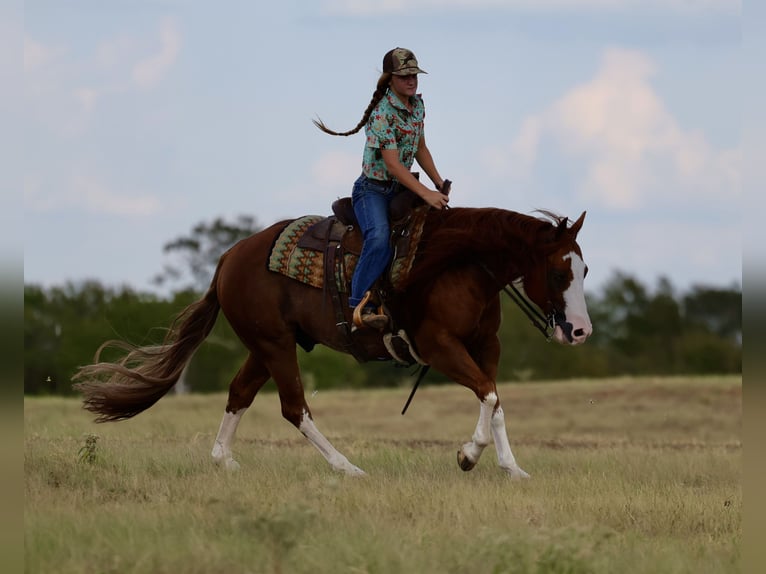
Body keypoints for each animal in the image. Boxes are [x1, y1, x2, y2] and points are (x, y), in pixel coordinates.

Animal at [73, 206, 592, 479]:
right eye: (559, 271)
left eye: (584, 269)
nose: (580, 330)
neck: (461, 266)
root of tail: (228, 258)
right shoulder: (439, 346)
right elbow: (489, 394)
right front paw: (469, 455)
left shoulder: (486, 346)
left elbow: (495, 398)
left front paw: (509, 466)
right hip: (276, 346)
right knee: (294, 408)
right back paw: (347, 467)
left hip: (267, 346)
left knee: (240, 393)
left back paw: (224, 460)